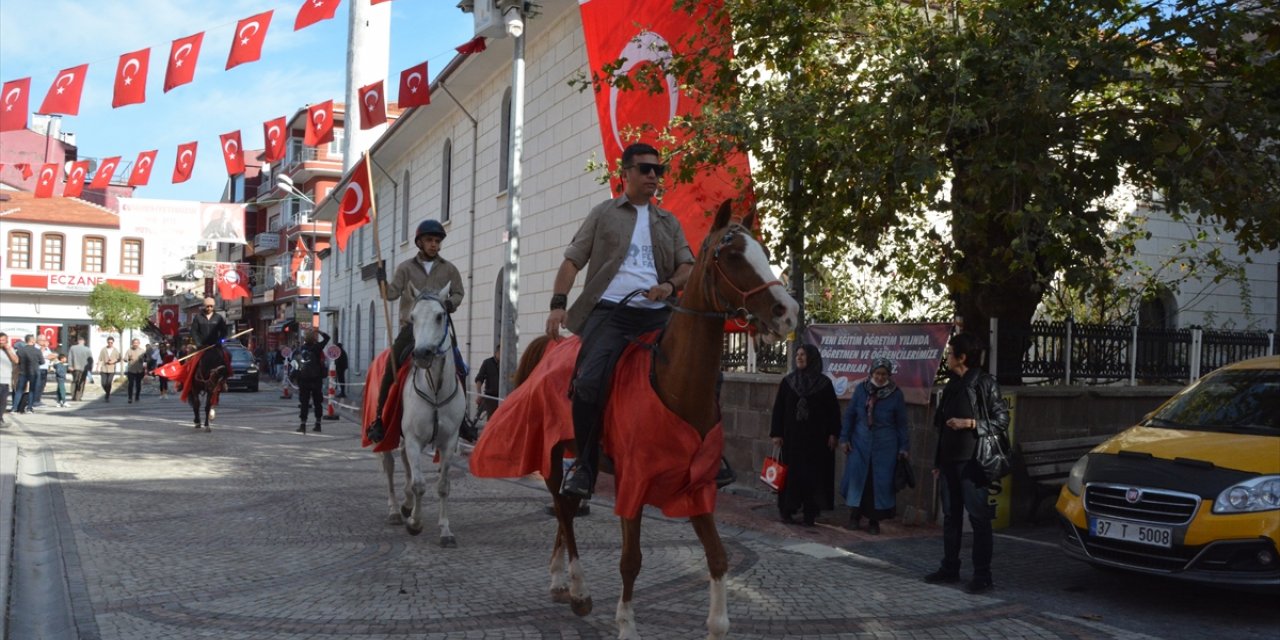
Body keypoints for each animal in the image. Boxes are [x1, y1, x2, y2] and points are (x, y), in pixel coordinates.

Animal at [378, 282, 471, 547]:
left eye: (440, 316)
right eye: (413, 317)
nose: (421, 355)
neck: (436, 389)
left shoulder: (448, 442)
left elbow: (443, 485)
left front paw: (445, 530)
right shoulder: (413, 439)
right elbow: (420, 484)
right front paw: (415, 524)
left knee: (405, 463)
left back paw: (407, 505)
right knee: (390, 466)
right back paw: (394, 510)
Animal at [476, 200, 793, 640]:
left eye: (763, 251)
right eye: (731, 255)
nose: (788, 312)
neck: (673, 382)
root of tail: (551, 347)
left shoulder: (697, 486)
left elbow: (718, 557)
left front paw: (717, 623)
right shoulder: (634, 483)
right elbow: (631, 559)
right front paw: (626, 621)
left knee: (565, 509)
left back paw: (559, 579)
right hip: (552, 456)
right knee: (562, 508)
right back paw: (577, 588)